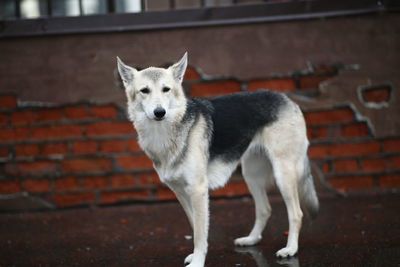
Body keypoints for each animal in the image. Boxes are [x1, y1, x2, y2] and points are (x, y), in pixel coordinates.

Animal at [115, 52, 318, 267]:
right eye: (144, 91)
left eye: (166, 89)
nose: (159, 112)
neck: (164, 133)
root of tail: (287, 98)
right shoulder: (181, 193)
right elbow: (195, 226)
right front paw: (195, 256)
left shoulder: (198, 190)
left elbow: (199, 233)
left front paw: (198, 261)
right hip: (251, 176)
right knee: (265, 209)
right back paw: (251, 239)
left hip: (283, 175)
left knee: (296, 213)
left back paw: (291, 249)